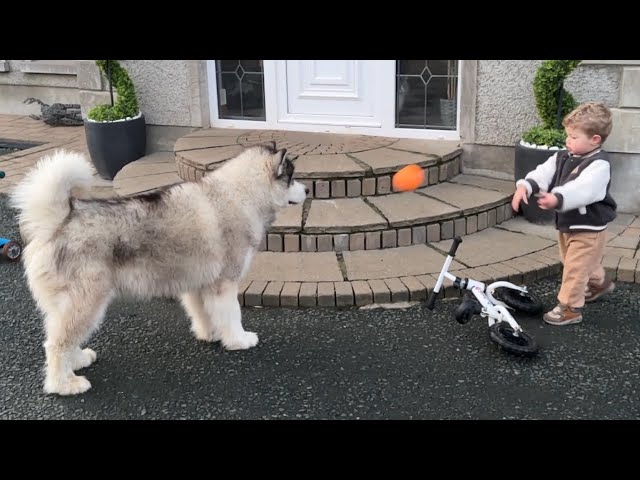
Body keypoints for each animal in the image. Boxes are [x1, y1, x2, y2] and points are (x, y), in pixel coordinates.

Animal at [10, 142, 308, 394]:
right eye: (292, 177)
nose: (307, 191)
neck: (241, 195)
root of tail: (59, 219)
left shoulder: (198, 283)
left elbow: (203, 313)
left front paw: (210, 335)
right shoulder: (224, 284)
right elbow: (232, 315)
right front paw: (238, 340)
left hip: (69, 305)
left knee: (62, 337)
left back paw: (78, 359)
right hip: (86, 302)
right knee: (55, 344)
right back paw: (64, 384)